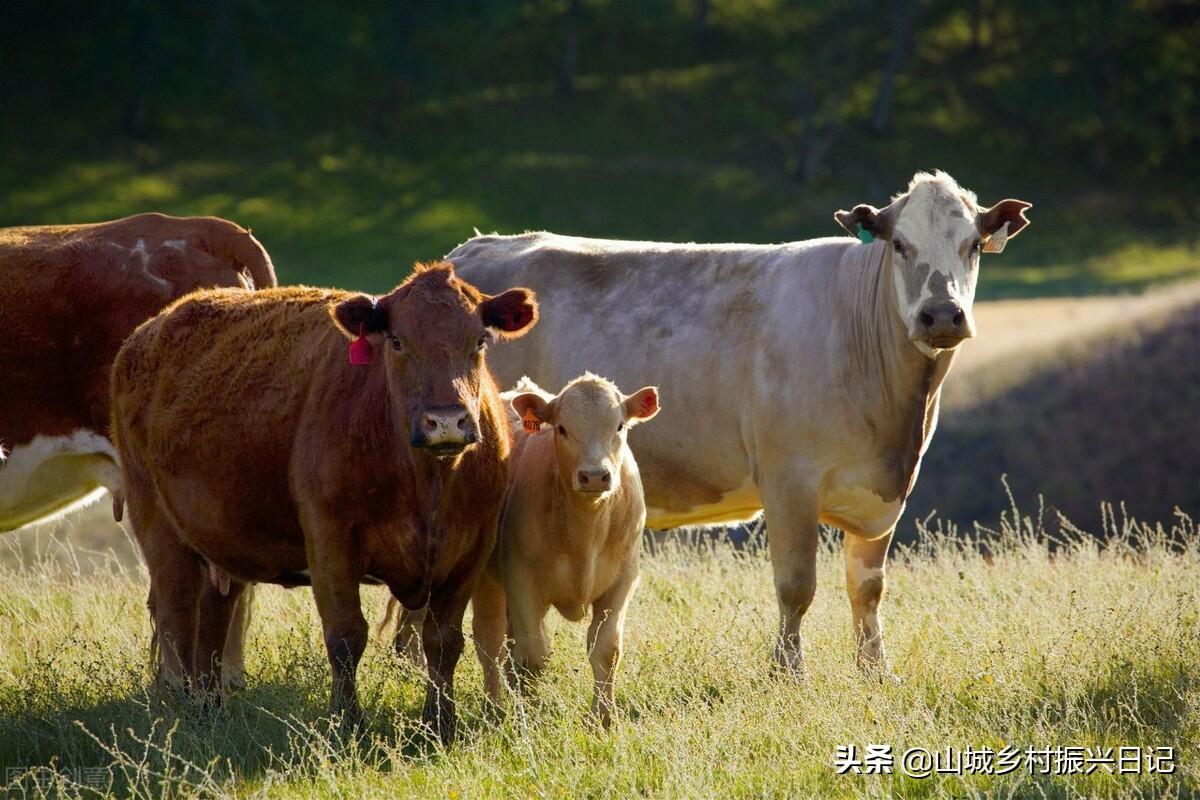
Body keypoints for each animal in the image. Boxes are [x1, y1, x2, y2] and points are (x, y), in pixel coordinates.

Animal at [108, 263, 540, 743]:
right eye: (397, 341)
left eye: (479, 340)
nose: (445, 421)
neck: (427, 481)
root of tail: (144, 335)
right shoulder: (331, 541)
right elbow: (346, 636)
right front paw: (348, 723)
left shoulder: (471, 548)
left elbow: (443, 641)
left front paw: (439, 725)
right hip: (157, 524)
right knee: (177, 616)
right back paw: (183, 713)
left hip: (219, 542)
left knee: (213, 620)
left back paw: (210, 711)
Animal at [446, 172, 1027, 671]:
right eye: (900, 245)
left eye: (974, 245)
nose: (942, 314)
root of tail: (471, 248)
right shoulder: (789, 480)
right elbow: (796, 585)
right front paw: (789, 673)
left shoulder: (883, 494)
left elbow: (867, 587)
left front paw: (875, 672)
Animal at [470, 376, 662, 724]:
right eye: (562, 428)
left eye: (619, 426)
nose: (595, 476)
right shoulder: (520, 578)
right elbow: (532, 655)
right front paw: (527, 716)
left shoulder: (623, 581)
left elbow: (606, 650)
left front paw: (603, 719)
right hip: (485, 579)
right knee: (490, 641)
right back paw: (495, 709)